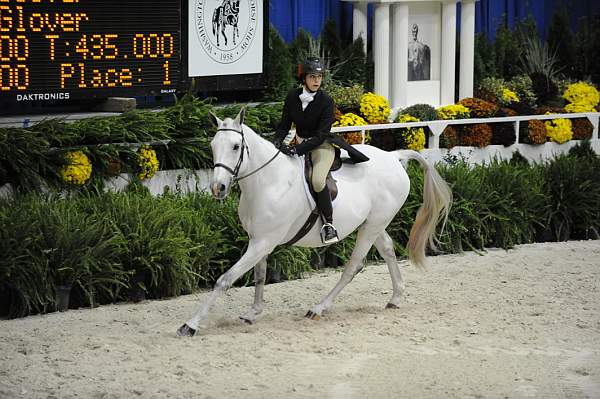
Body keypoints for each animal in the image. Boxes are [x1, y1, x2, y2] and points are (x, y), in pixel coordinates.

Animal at [176, 109, 452, 338]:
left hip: (372, 226)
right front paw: (253, 312)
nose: (218, 188)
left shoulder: (263, 242)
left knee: (354, 265)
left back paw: (319, 308)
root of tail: (394, 158)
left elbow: (225, 280)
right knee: (387, 250)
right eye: (213, 146)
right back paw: (395, 297)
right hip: (374, 224)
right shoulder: (258, 240)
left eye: (235, 147)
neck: (268, 181)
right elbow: (260, 276)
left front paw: (190, 324)